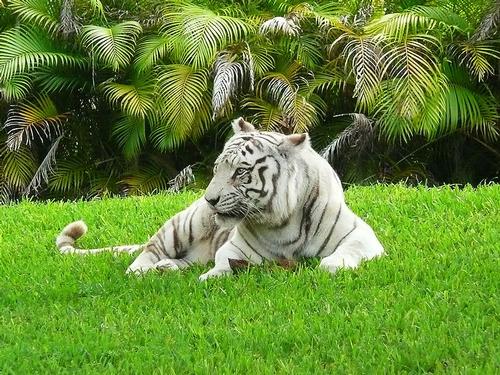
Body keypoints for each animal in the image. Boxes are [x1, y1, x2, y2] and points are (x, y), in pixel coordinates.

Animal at [59, 117, 386, 280]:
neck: (284, 221)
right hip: (181, 226)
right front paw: (212, 278)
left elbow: (345, 253)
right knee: (147, 253)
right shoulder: (238, 249)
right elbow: (223, 264)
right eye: (217, 169)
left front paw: (331, 267)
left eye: (240, 172)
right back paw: (143, 271)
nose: (210, 200)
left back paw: (168, 268)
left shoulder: (363, 236)